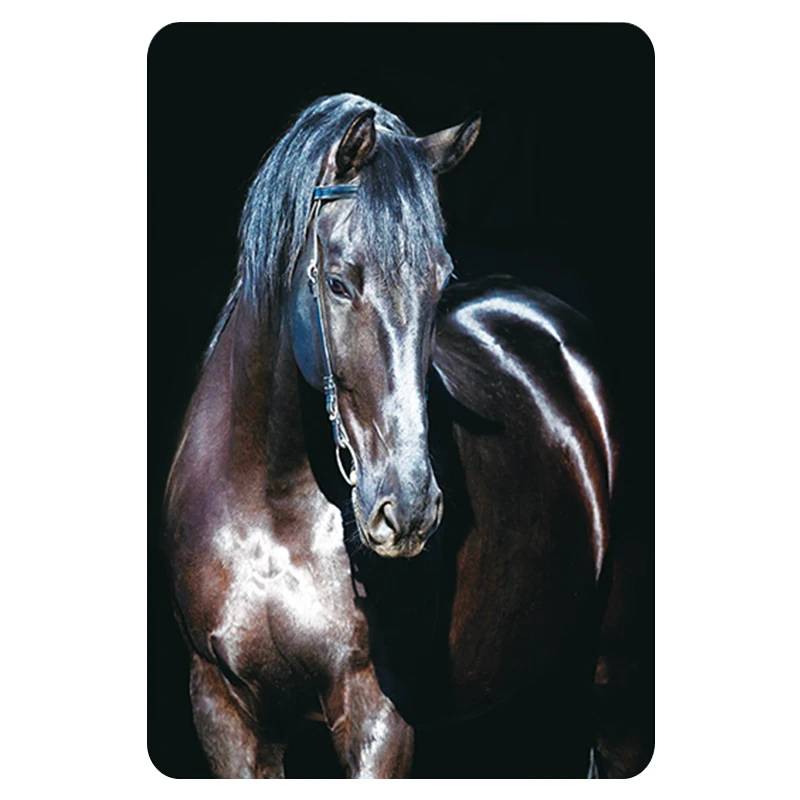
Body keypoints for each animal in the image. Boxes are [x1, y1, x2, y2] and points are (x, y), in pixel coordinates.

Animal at [164, 93, 619, 778]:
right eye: (338, 283)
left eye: (440, 280)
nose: (407, 511)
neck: (271, 505)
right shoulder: (223, 710)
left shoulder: (377, 714)